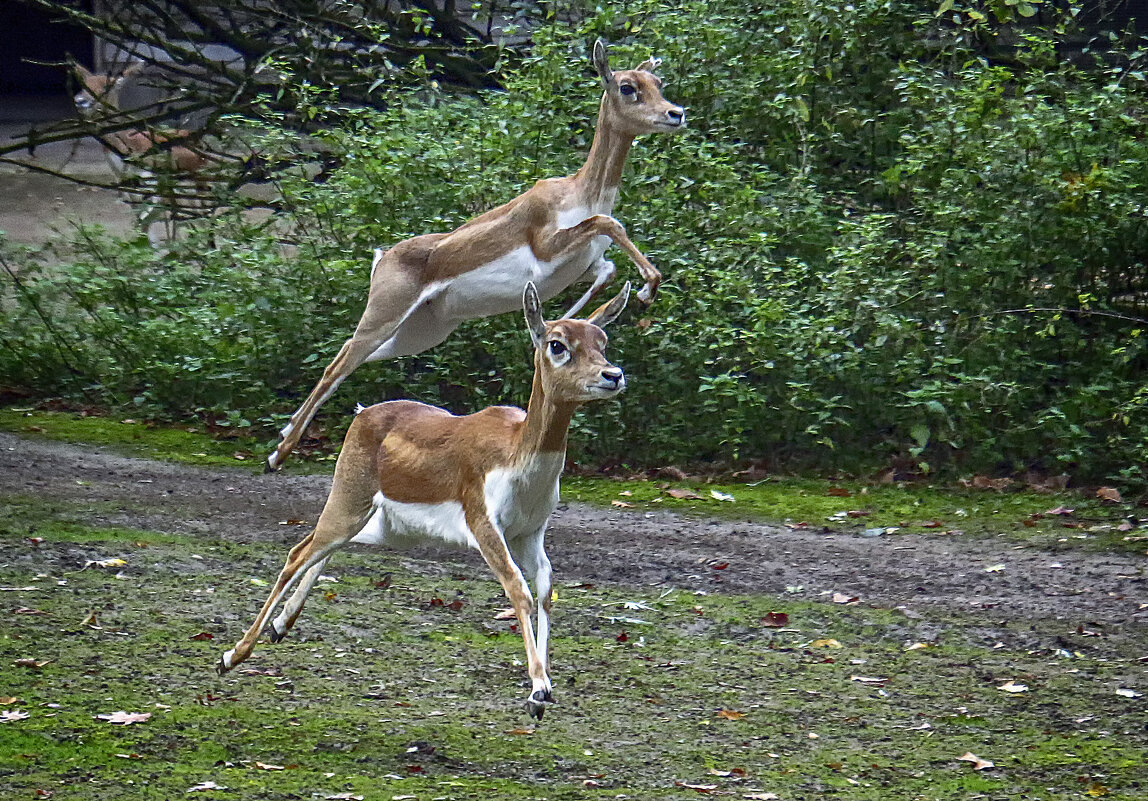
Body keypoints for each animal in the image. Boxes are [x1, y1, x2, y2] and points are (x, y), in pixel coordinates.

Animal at [215, 277, 629, 716]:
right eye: (557, 343)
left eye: (602, 339)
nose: (613, 374)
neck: (518, 455)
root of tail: (363, 413)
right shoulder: (484, 523)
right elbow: (519, 589)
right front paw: (537, 691)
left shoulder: (530, 531)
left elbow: (546, 588)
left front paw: (545, 689)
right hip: (349, 498)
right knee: (299, 552)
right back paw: (230, 656)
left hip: (386, 526)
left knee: (321, 547)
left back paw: (279, 628)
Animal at [264, 39, 684, 468]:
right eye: (628, 87)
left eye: (658, 83)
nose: (676, 113)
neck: (582, 192)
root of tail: (384, 256)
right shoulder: (548, 247)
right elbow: (609, 223)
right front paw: (646, 289)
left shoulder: (585, 265)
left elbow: (609, 268)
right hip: (384, 315)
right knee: (337, 363)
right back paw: (278, 454)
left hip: (419, 334)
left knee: (351, 360)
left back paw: (285, 435)